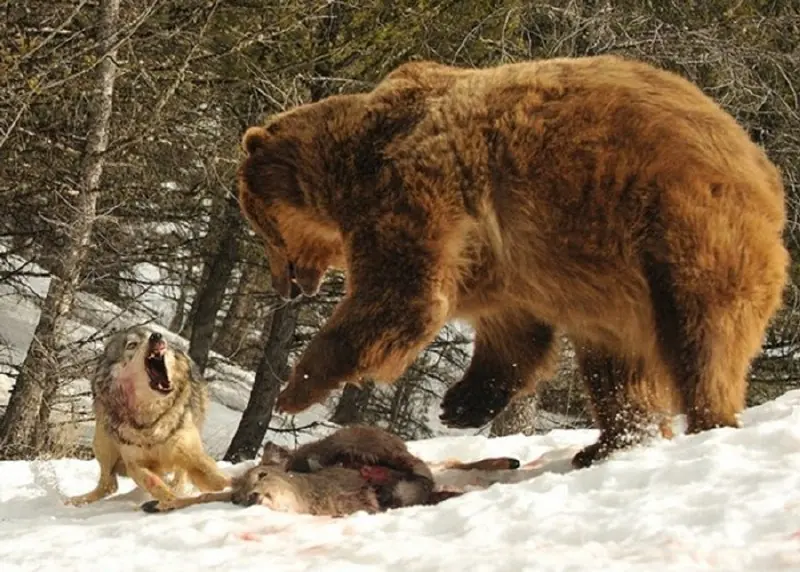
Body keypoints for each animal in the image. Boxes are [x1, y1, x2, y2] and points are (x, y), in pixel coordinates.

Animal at [64, 326, 231, 511]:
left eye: (154, 333)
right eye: (132, 345)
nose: (156, 336)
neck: (150, 421)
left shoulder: (188, 452)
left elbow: (215, 479)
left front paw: (231, 486)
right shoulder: (135, 464)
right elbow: (155, 484)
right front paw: (171, 502)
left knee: (179, 475)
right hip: (102, 443)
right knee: (108, 485)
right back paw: (77, 501)